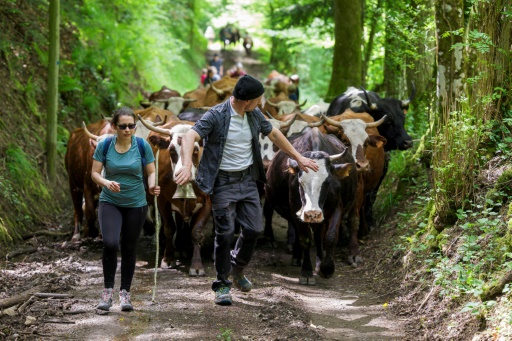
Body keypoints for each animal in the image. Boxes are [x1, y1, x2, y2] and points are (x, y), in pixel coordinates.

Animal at [137, 115, 211, 274]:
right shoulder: (162, 200)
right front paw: (167, 258)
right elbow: (169, 228)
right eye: (171, 149)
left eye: (196, 150)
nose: (180, 174)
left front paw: (196, 265)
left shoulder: (208, 201)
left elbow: (196, 231)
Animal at [266, 126, 358, 282]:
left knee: (319, 234)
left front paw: (327, 268)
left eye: (327, 181)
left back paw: (319, 262)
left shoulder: (336, 207)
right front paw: (307, 272)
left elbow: (330, 236)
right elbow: (305, 238)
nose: (312, 213)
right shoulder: (296, 209)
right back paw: (297, 257)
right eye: (300, 181)